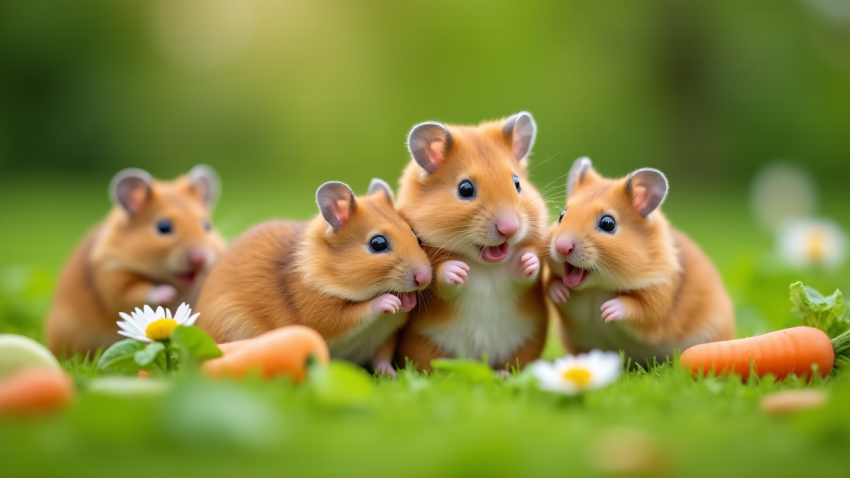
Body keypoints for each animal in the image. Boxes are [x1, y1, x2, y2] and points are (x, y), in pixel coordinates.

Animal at [45, 164, 225, 354]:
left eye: (207, 226)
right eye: (163, 227)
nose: (199, 259)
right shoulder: (113, 279)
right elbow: (138, 291)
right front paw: (168, 292)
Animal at [194, 179, 430, 378]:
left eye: (415, 235)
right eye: (378, 244)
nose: (425, 278)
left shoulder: (384, 338)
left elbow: (381, 358)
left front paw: (393, 375)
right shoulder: (321, 317)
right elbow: (357, 312)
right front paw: (390, 302)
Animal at [392, 112, 548, 374]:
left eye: (517, 183)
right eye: (465, 189)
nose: (510, 228)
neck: (485, 267)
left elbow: (526, 273)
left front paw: (527, 261)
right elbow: (441, 278)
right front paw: (458, 270)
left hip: (527, 343)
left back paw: (503, 373)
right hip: (424, 344)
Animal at [548, 157, 732, 362]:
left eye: (608, 223)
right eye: (561, 216)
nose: (562, 246)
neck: (596, 288)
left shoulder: (659, 297)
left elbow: (638, 309)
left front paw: (607, 310)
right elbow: (551, 285)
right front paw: (560, 292)